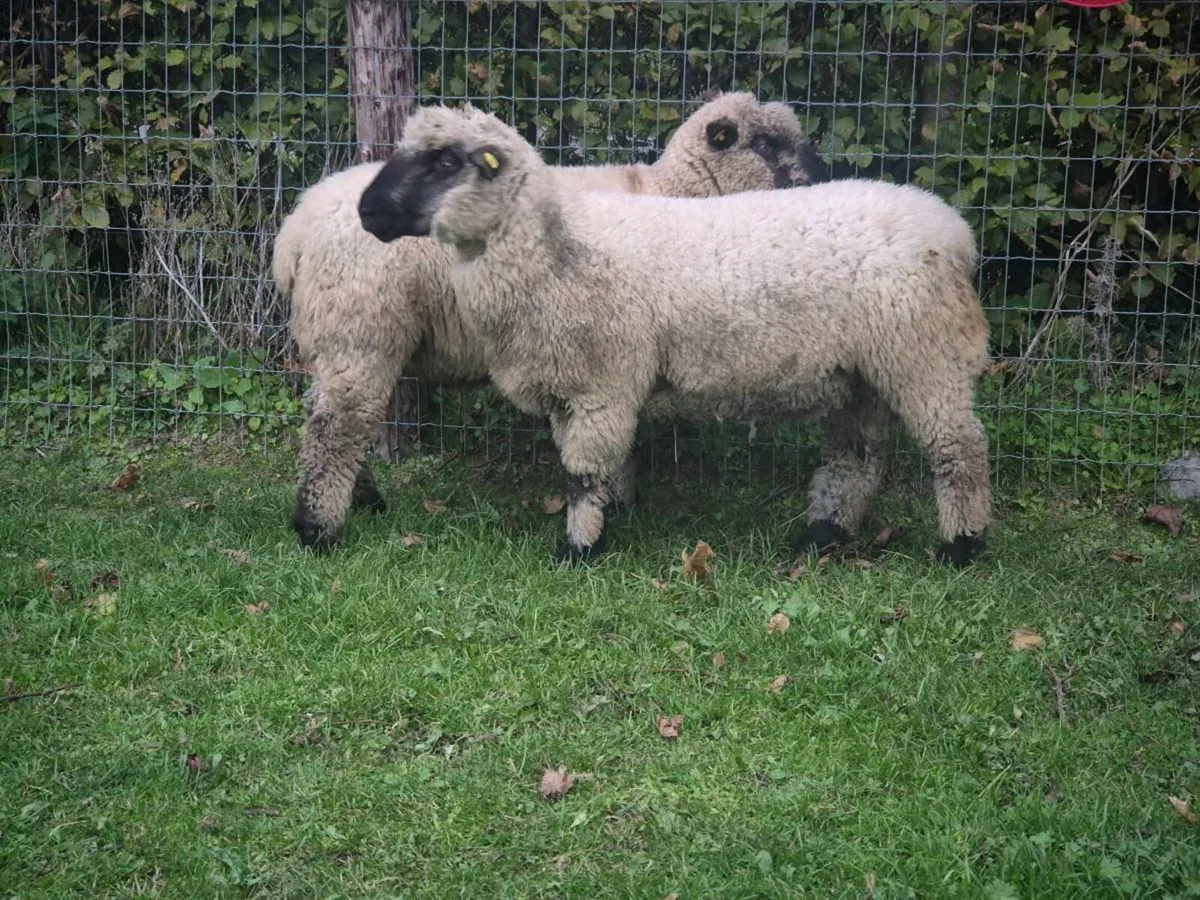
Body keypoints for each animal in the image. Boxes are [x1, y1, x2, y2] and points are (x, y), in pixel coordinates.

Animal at [273, 91, 824, 552]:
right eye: (766, 143)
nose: (825, 173)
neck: (672, 189)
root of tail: (296, 227)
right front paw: (609, 505)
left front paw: (615, 501)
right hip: (359, 329)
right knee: (335, 427)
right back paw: (319, 529)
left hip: (344, 338)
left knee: (328, 415)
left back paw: (363, 499)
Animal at [356, 104, 993, 567]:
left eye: (444, 161)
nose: (367, 212)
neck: (557, 249)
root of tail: (953, 229)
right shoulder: (570, 388)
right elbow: (588, 472)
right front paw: (595, 530)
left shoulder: (602, 384)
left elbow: (583, 474)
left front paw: (578, 550)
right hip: (864, 372)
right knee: (857, 458)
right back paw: (821, 539)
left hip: (925, 354)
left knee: (959, 451)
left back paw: (961, 548)